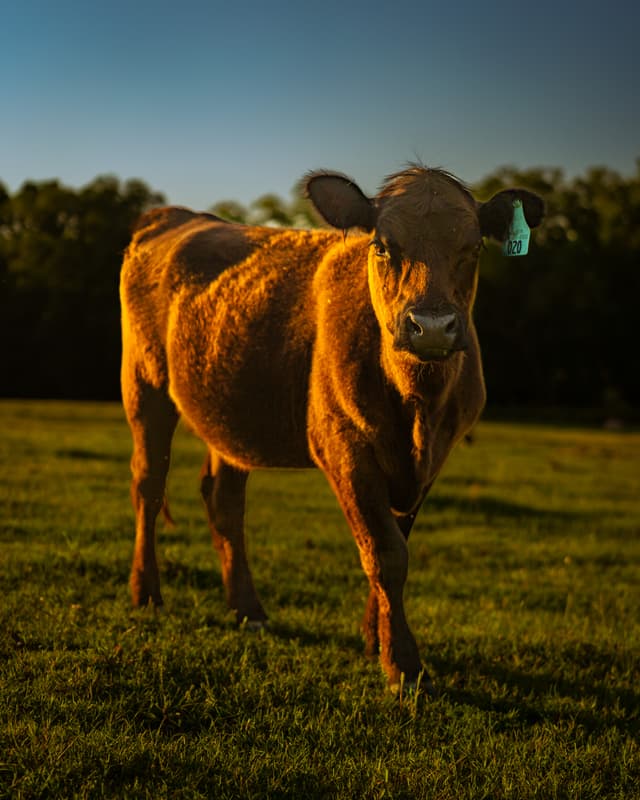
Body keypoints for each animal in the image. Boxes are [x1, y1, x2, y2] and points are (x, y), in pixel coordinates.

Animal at [120, 165, 544, 692]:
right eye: (382, 246)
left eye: (474, 248)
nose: (431, 326)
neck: (417, 410)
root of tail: (175, 215)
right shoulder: (344, 448)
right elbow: (384, 552)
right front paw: (402, 664)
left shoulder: (432, 458)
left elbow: (396, 543)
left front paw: (374, 638)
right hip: (144, 382)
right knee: (148, 484)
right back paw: (146, 592)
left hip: (229, 408)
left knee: (223, 500)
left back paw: (248, 609)